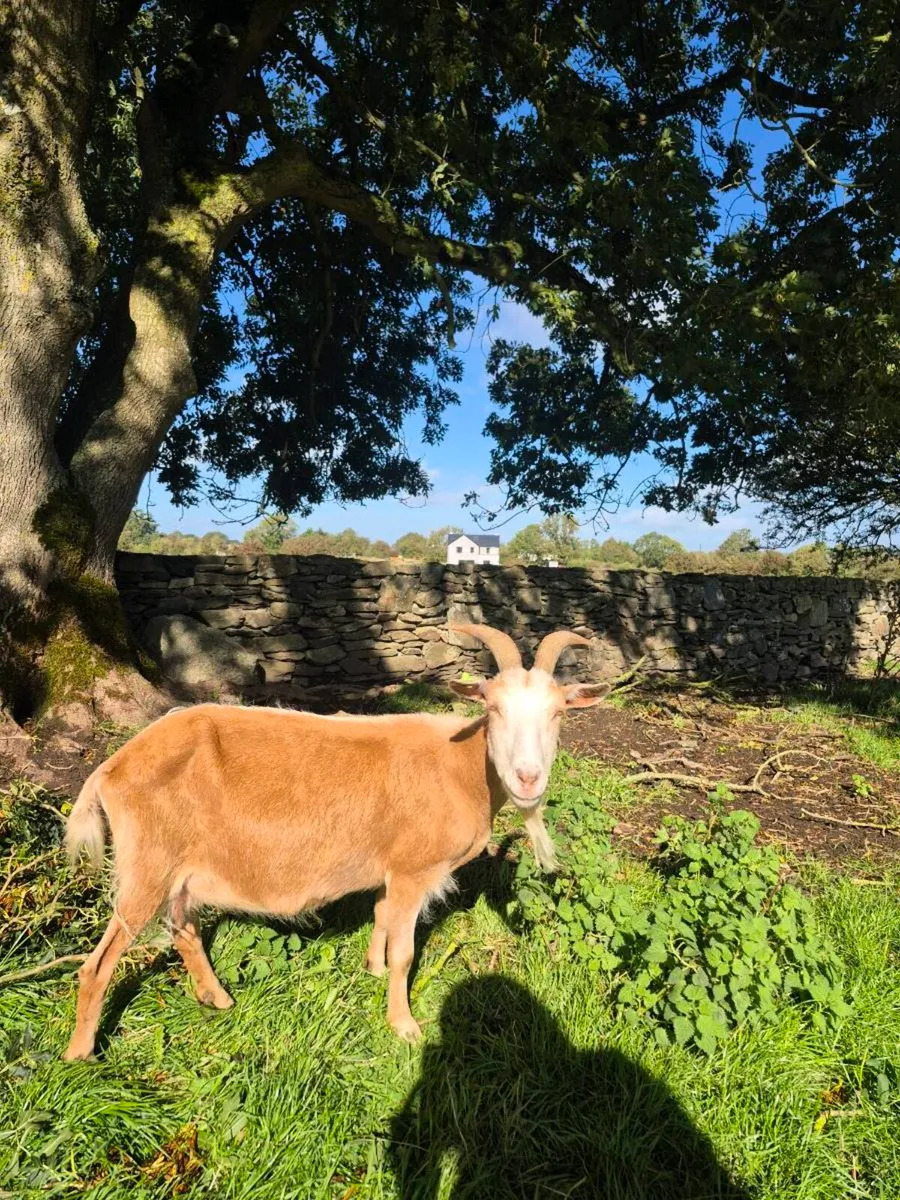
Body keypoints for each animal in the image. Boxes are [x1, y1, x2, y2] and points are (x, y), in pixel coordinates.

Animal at [62, 624, 609, 1059]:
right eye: (493, 708)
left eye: (559, 713)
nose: (528, 779)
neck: (459, 767)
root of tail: (111, 768)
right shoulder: (412, 869)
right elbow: (406, 952)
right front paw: (404, 1025)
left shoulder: (390, 866)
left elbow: (381, 916)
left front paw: (372, 969)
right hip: (147, 864)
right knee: (98, 964)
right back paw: (80, 1055)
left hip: (181, 867)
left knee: (184, 929)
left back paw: (216, 998)